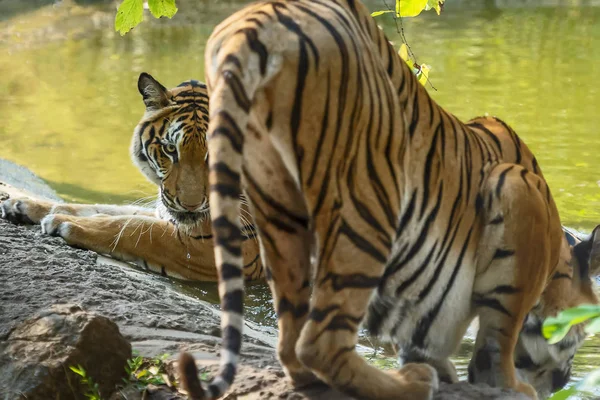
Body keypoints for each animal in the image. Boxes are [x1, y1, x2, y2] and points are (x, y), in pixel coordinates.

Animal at [0, 74, 262, 282]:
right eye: (170, 149)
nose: (190, 206)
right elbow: (108, 210)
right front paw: (23, 205)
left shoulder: (229, 244)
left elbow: (134, 227)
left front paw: (64, 223)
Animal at [176, 0, 600, 400]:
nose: (564, 382)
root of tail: (253, 24)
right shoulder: (521, 194)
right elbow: (498, 343)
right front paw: (511, 386)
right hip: (370, 203)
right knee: (321, 342)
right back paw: (409, 384)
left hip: (277, 207)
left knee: (292, 340)